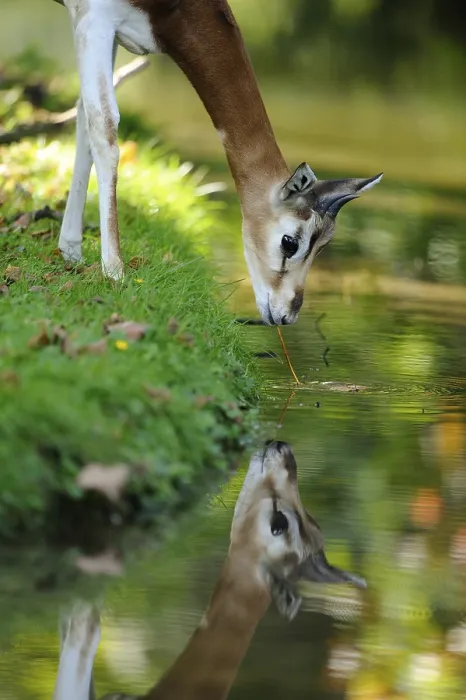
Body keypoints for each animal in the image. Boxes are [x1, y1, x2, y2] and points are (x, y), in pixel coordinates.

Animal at [53, 0, 382, 325]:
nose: (288, 315)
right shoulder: (94, 18)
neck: (174, 10)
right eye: (290, 242)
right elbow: (104, 124)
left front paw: (71, 251)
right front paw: (114, 273)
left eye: (324, 244)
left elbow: (83, 116)